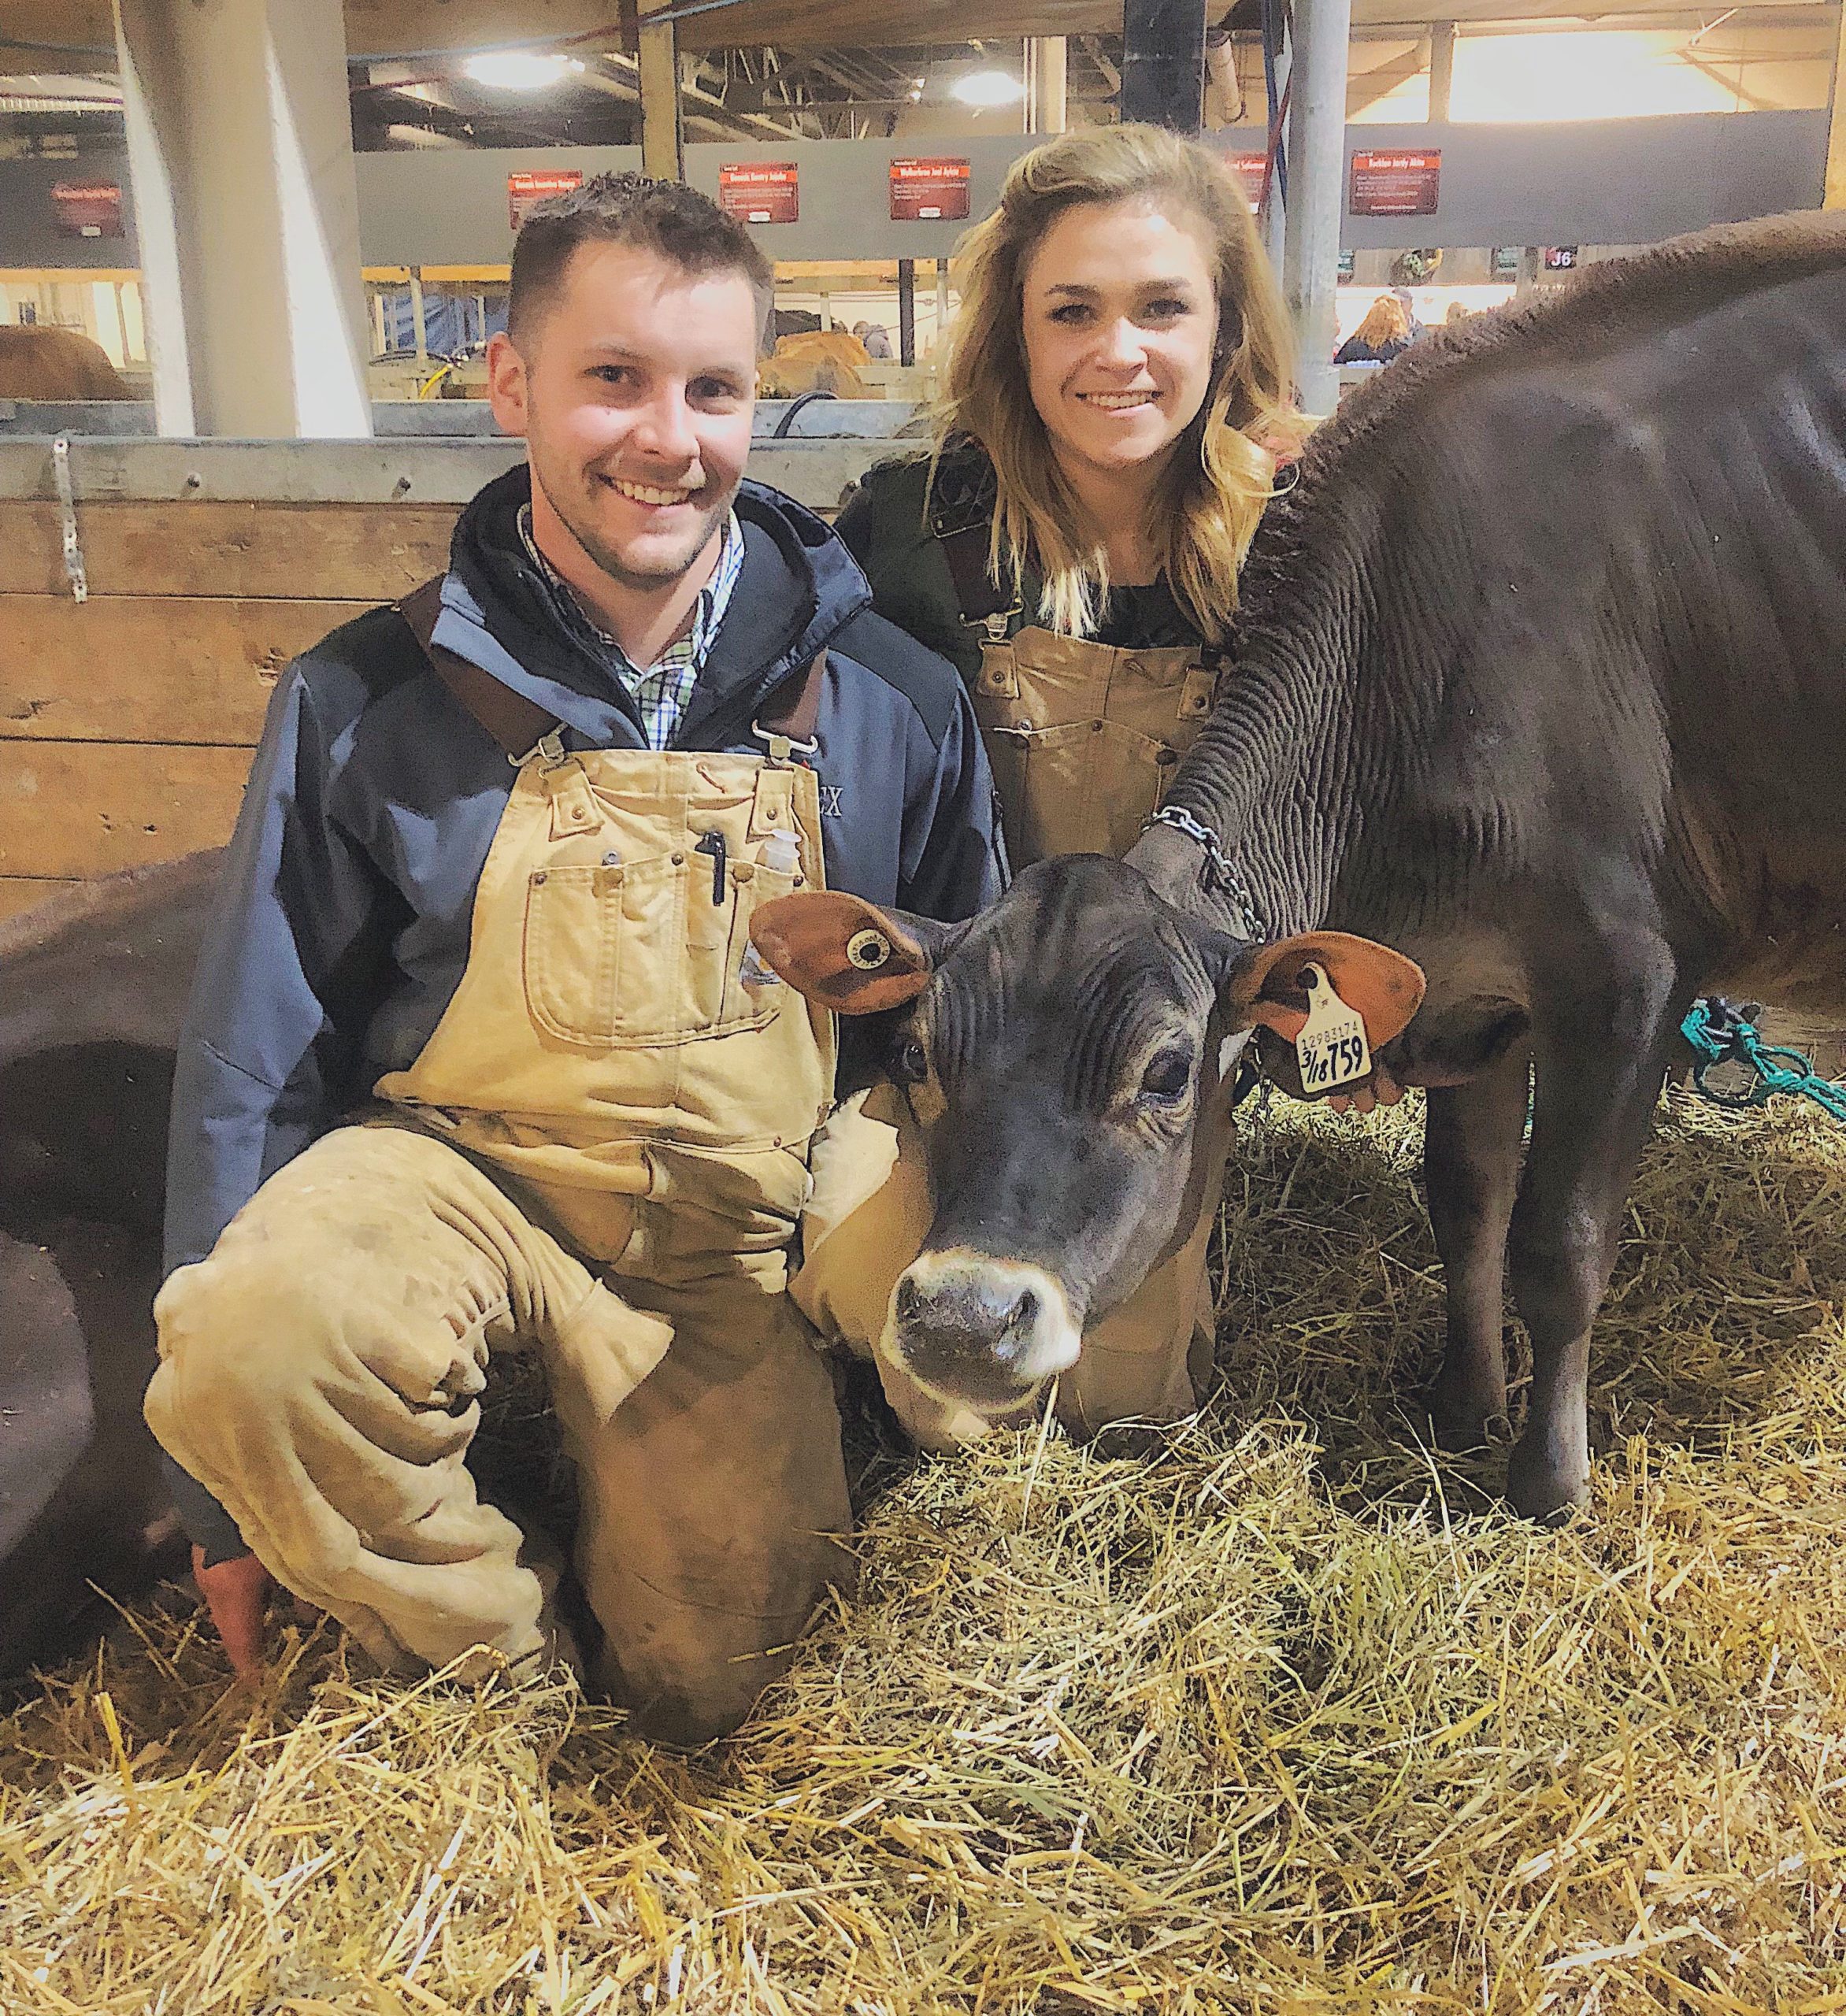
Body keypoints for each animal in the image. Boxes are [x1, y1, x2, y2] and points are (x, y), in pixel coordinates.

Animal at [753, 212, 1846, 1523]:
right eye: (917, 1054)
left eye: (1169, 1072)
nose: (965, 1318)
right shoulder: (1473, 993)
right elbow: (1466, 1202)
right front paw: (1463, 1405)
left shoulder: (1626, 978)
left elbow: (1559, 1243)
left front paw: (1548, 1484)